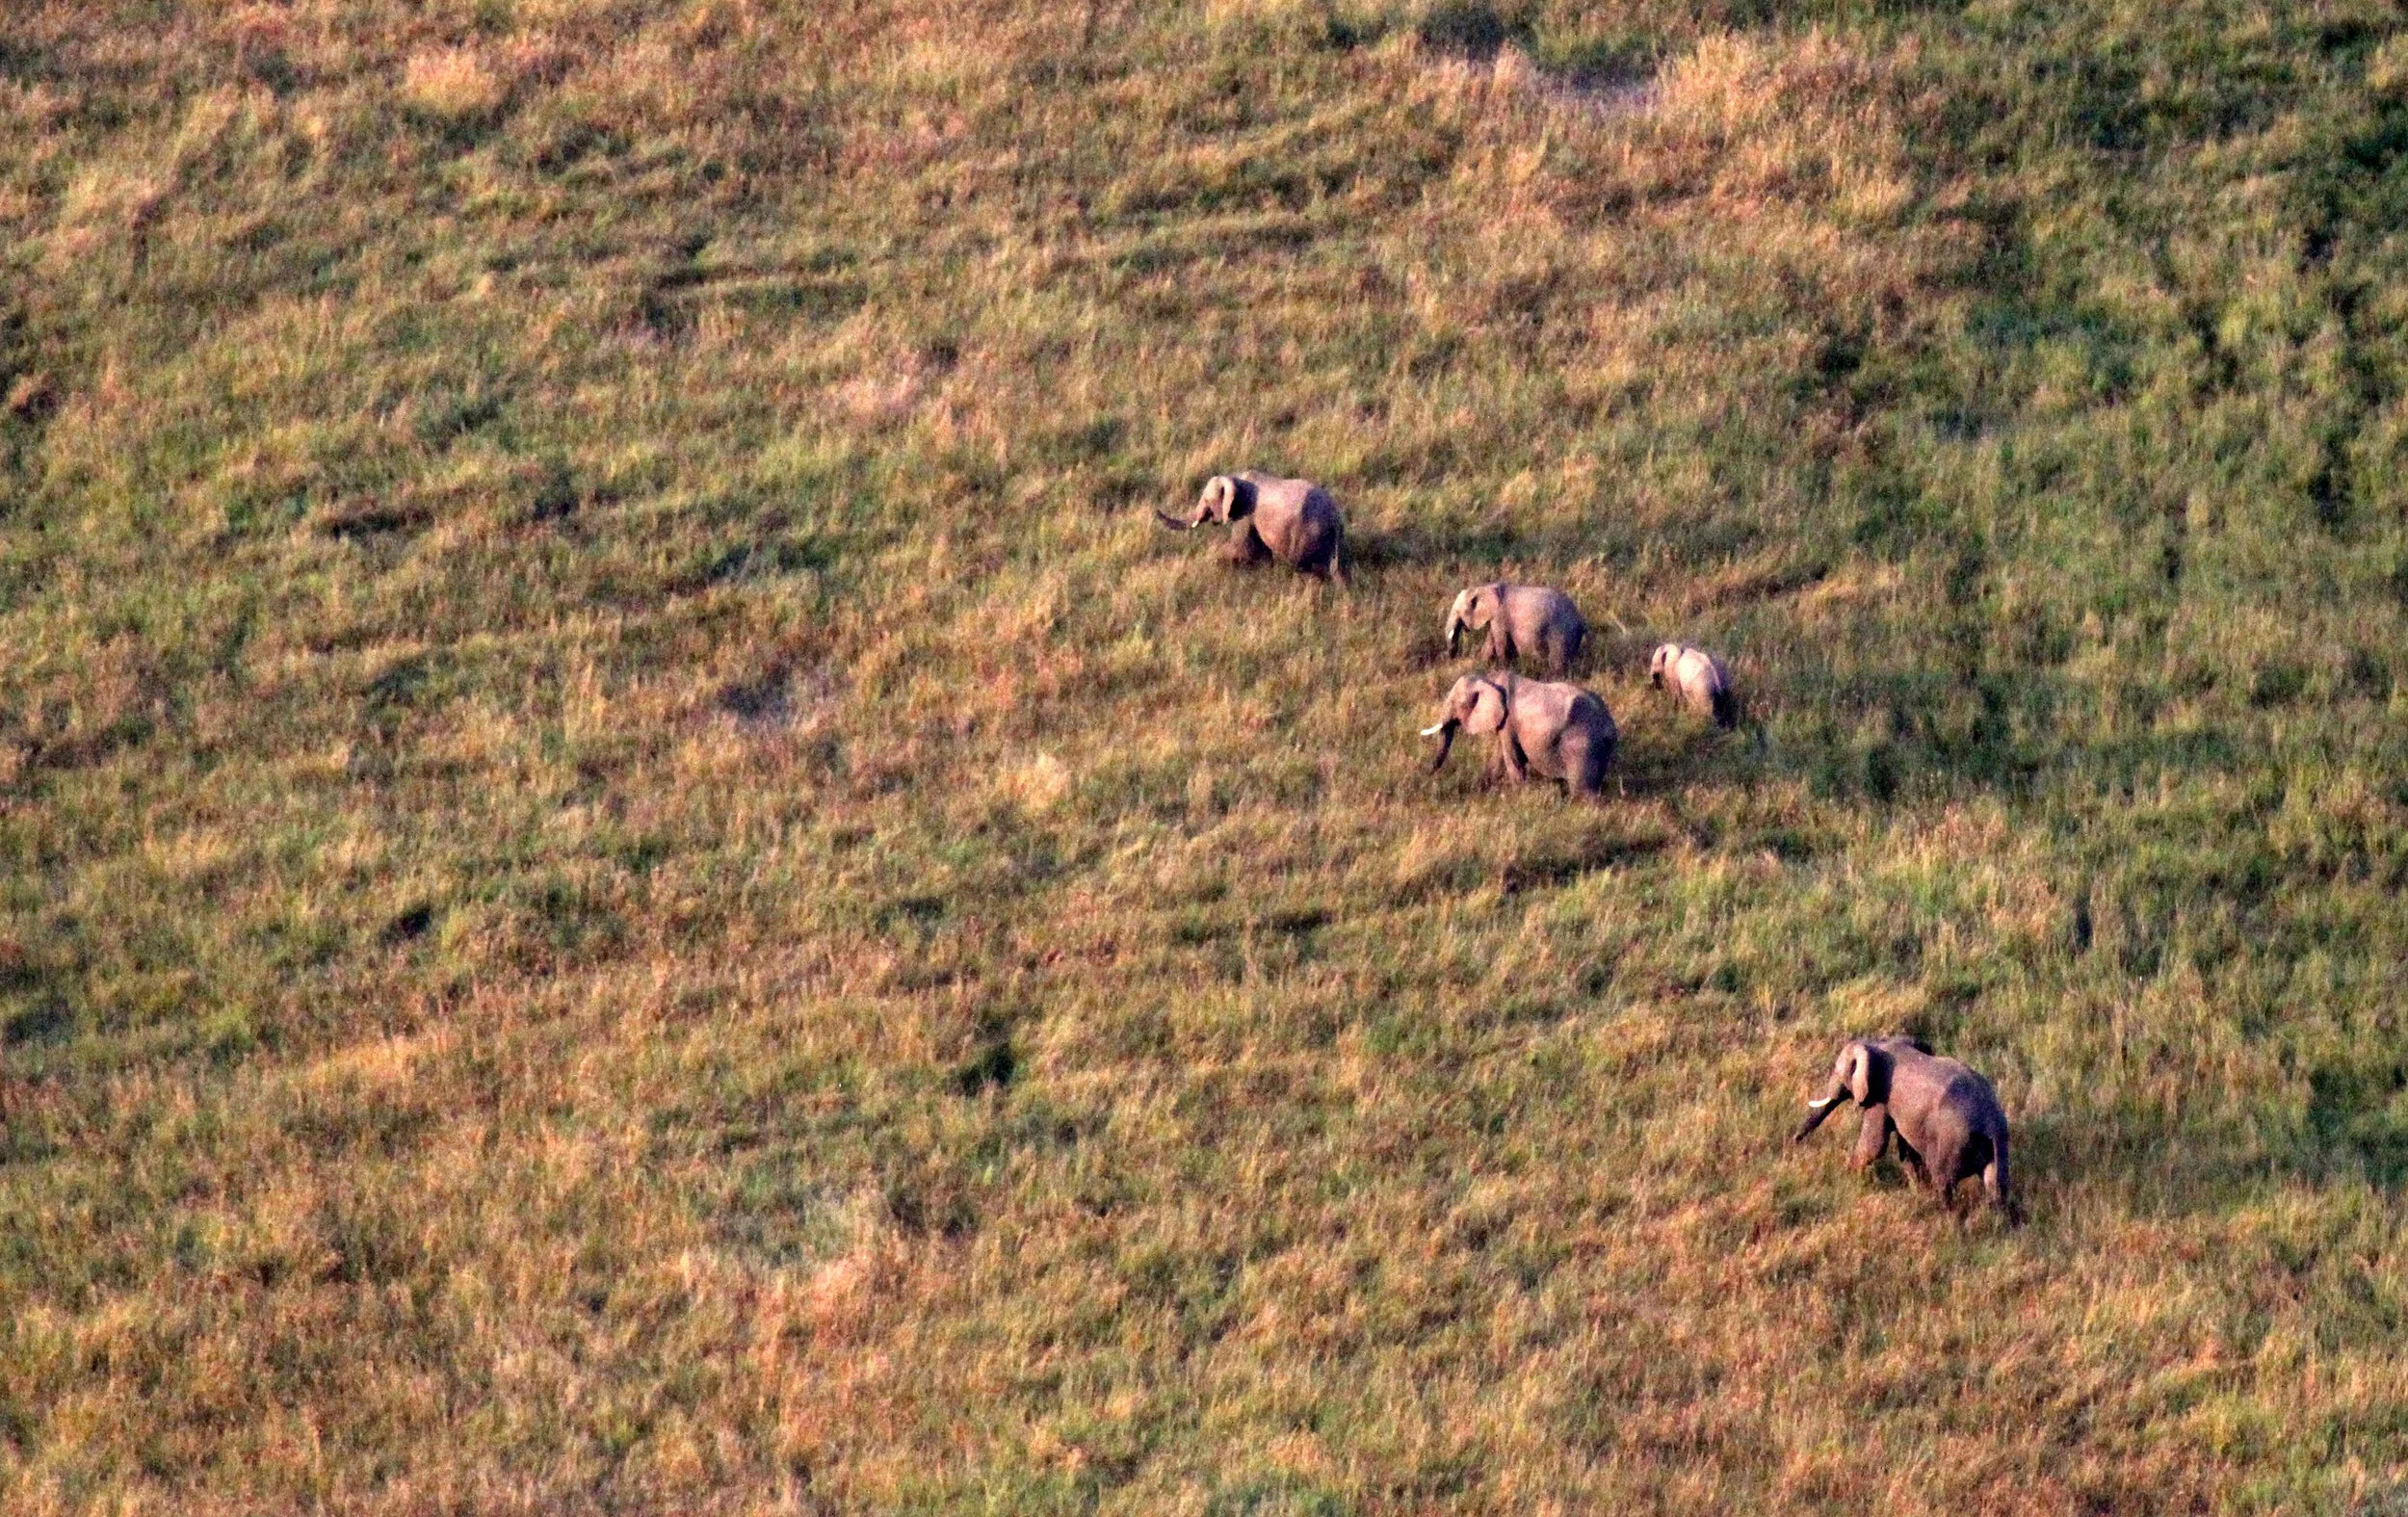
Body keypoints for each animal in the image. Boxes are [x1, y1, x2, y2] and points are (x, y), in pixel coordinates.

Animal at [1157, 472, 1346, 583]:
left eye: (1207, 501)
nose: (1156, 510)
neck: (1236, 478)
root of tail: (1335, 517)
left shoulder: (1246, 514)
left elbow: (1243, 549)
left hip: (1306, 534)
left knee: (1305, 566)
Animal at [1422, 671, 1617, 798]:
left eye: (1456, 702)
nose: (1428, 774)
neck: (1489, 678)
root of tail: (1609, 725)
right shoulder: (1503, 725)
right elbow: (1500, 757)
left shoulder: (1509, 722)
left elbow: (1513, 759)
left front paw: (1519, 797)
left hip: (1582, 744)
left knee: (1583, 791)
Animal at [1443, 583, 1588, 675]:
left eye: (1457, 612)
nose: (1451, 658)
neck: (1483, 588)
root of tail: (1580, 620)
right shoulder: (1495, 619)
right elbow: (1490, 643)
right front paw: (1482, 666)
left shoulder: (1500, 616)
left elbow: (1500, 643)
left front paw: (1503, 669)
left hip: (1562, 632)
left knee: (1557, 662)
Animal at [1792, 1036, 2014, 1219]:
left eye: (1838, 1071)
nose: (1794, 1141)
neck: (1877, 1043)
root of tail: (1988, 1123)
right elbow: (1906, 1151)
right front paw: (1918, 1190)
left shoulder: (1880, 1098)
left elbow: (1874, 1146)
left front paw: (1847, 1175)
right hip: (2000, 1144)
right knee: (1997, 1187)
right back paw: (1996, 1223)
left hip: (1952, 1142)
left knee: (1944, 1182)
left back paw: (1946, 1219)